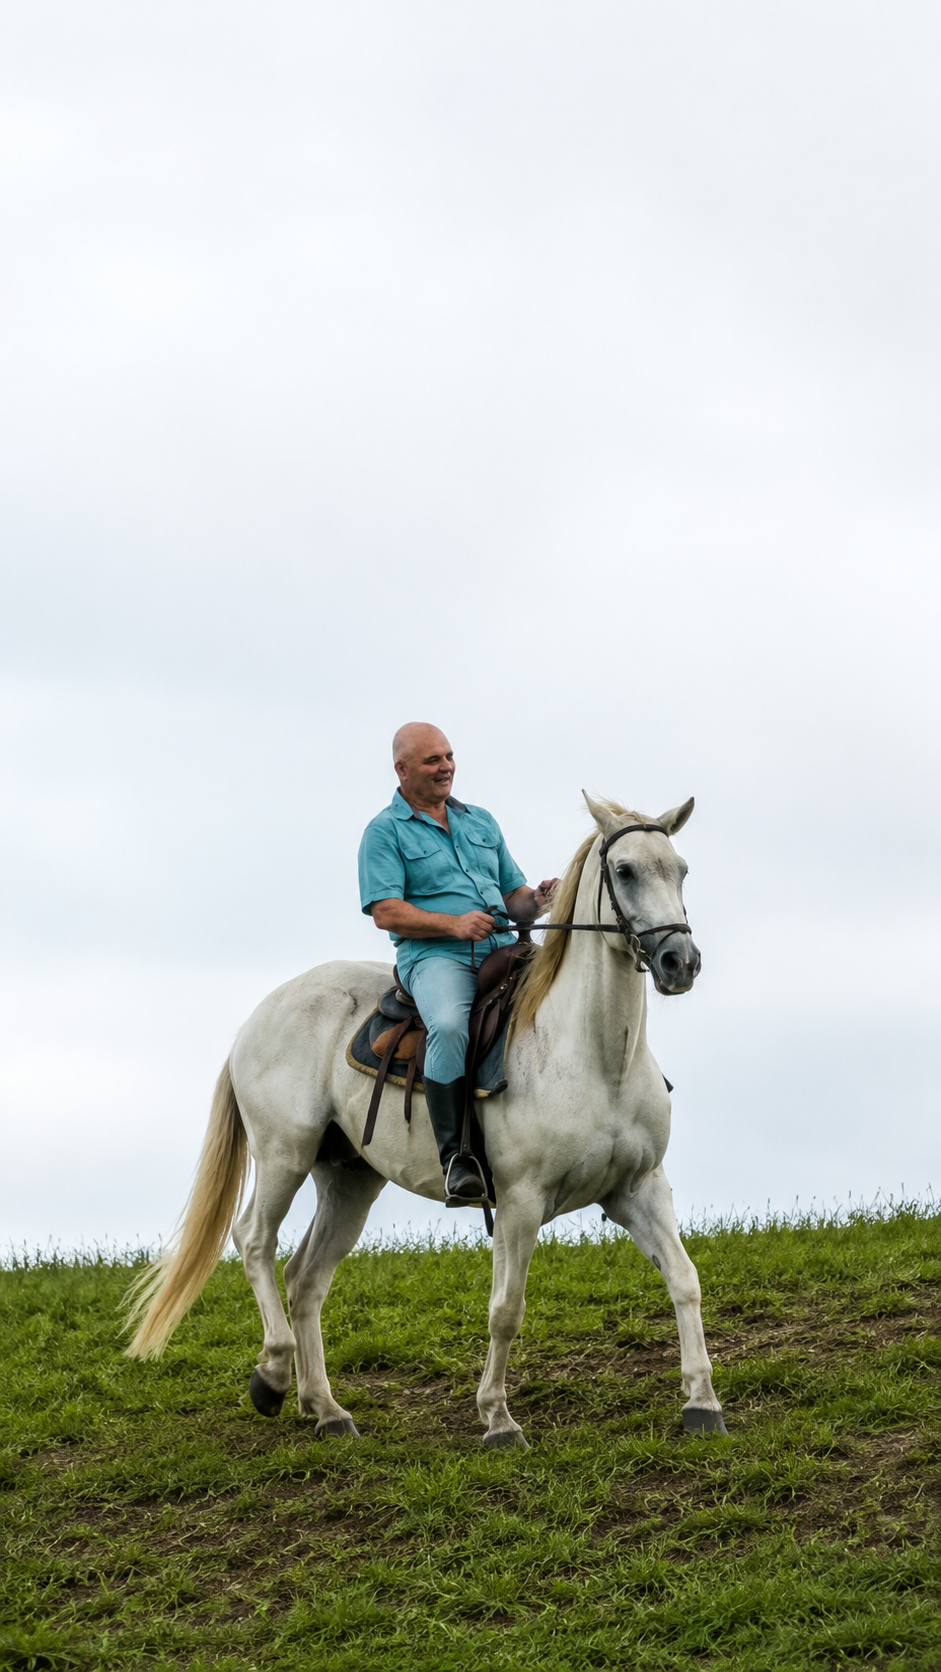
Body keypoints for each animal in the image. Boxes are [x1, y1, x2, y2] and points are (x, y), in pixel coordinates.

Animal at [126, 792, 727, 1446]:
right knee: (254, 1241)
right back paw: (273, 1376)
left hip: (349, 1179)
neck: (592, 1055)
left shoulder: (638, 1189)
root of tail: (258, 1017)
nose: (680, 960)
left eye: (682, 869)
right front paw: (498, 1419)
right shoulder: (520, 1203)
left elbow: (685, 1279)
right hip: (285, 1155)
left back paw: (326, 1409)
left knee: (305, 1277)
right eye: (625, 870)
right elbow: (506, 1311)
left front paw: (703, 1403)